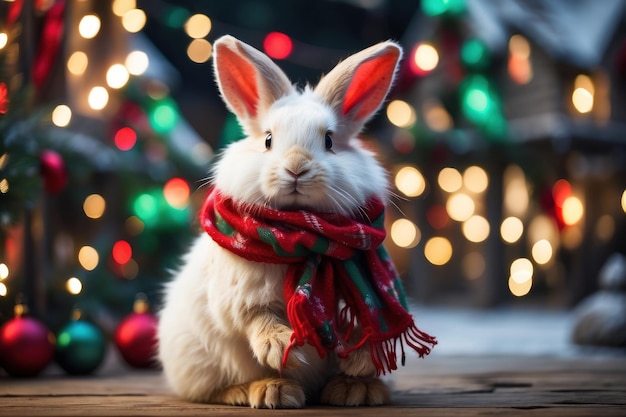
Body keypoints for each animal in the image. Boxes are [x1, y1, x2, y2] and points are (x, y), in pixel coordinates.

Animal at [156, 35, 424, 406]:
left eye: (329, 140)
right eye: (268, 140)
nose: (297, 167)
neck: (299, 233)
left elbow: (362, 325)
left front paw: (357, 362)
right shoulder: (242, 299)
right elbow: (257, 320)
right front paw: (285, 347)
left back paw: (356, 389)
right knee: (218, 386)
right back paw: (270, 390)